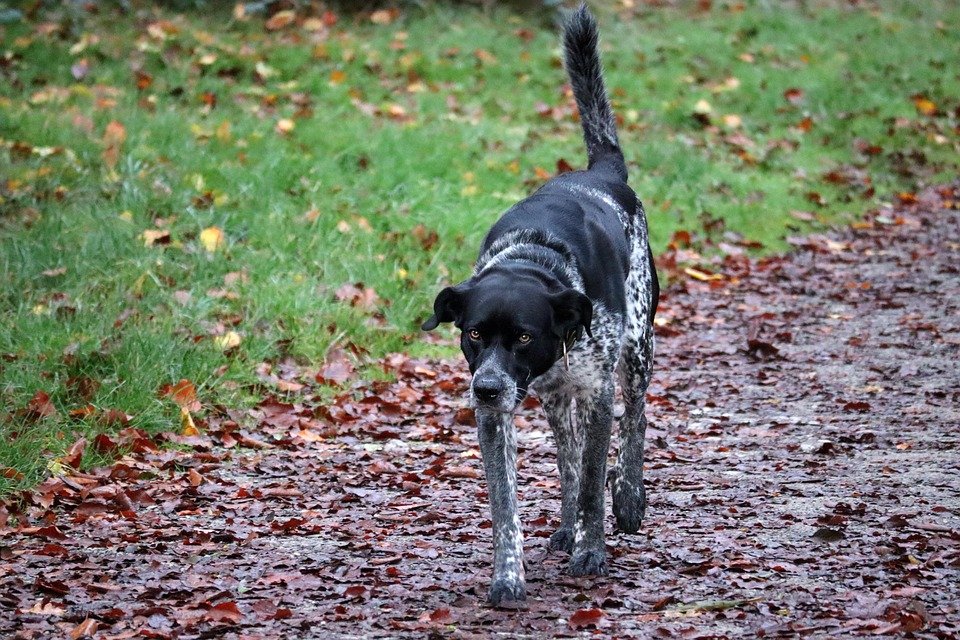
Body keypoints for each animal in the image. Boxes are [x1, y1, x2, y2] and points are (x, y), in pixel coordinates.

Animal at [421, 4, 658, 606]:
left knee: (635, 420)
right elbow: (507, 504)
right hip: (554, 399)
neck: (534, 259)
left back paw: (629, 497)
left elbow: (596, 478)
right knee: (568, 461)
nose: (486, 387)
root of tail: (601, 172)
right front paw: (508, 574)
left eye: (525, 335)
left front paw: (593, 550)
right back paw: (566, 525)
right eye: (473, 334)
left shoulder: (597, 393)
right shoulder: (495, 415)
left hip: (637, 351)